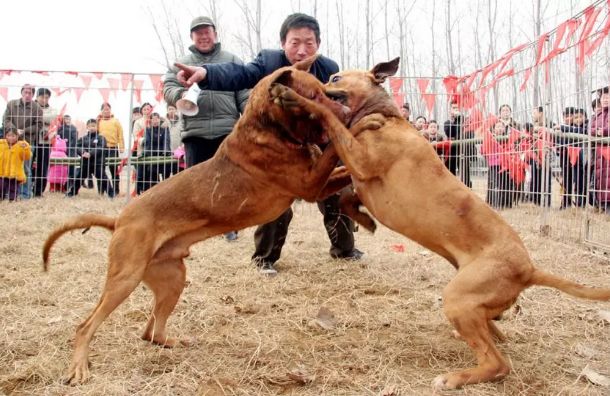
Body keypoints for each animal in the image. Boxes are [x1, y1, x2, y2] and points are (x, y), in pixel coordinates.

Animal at [45, 57, 366, 386]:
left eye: (325, 90)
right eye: (313, 96)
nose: (347, 113)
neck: (271, 129)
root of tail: (119, 219)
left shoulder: (319, 181)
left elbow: (347, 171)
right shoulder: (311, 184)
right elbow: (335, 149)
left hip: (173, 278)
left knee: (150, 332)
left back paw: (171, 342)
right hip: (125, 278)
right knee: (86, 325)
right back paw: (80, 366)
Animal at [270, 58, 608, 390]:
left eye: (336, 78)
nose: (310, 79)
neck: (385, 116)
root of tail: (529, 269)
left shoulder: (360, 158)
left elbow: (330, 116)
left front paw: (296, 99)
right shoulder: (358, 176)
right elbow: (345, 199)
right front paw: (365, 221)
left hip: (458, 299)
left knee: (497, 362)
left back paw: (455, 378)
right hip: (473, 305)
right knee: (496, 335)